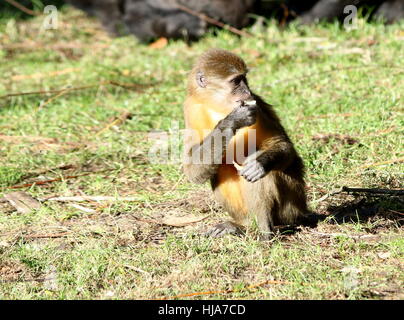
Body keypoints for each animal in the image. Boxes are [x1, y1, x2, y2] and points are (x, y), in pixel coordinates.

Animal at [184, 48, 310, 240]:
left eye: (244, 79)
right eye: (236, 81)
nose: (246, 90)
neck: (218, 106)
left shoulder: (257, 107)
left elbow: (282, 146)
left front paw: (259, 163)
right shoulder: (192, 109)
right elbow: (193, 170)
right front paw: (232, 121)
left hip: (291, 208)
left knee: (261, 170)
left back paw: (265, 233)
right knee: (219, 168)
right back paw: (242, 227)